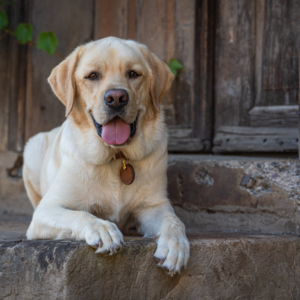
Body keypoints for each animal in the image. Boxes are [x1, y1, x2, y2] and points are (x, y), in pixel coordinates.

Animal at [24, 36, 191, 276]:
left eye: (133, 73)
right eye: (93, 76)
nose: (117, 98)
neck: (117, 157)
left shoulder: (153, 205)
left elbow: (174, 219)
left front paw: (175, 246)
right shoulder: (47, 210)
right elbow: (81, 214)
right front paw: (103, 229)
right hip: (32, 147)